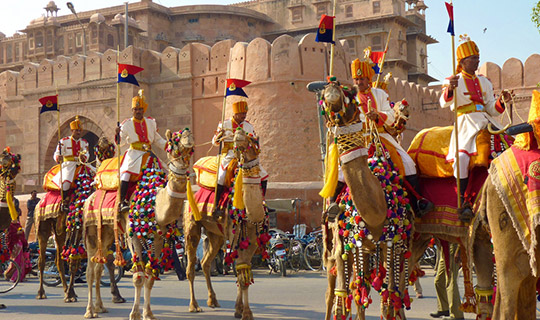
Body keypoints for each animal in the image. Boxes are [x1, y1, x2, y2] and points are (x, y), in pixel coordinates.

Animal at [185, 127, 268, 320]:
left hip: (216, 235)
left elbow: (242, 275)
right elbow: (242, 276)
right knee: (191, 267)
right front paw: (246, 313)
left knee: (205, 263)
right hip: (192, 226)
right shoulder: (237, 237)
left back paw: (212, 300)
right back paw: (194, 306)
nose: (238, 134)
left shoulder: (251, 242)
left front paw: (239, 310)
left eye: (253, 140)